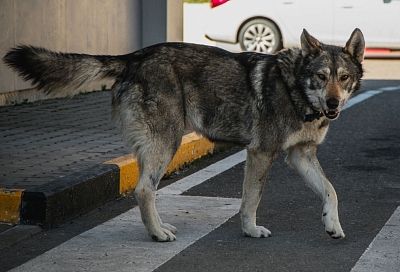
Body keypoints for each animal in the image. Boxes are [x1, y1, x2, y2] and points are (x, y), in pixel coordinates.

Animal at [3, 28, 366, 241]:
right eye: (321, 77)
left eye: (344, 78)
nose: (333, 103)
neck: (296, 91)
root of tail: (134, 57)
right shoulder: (261, 153)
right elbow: (251, 200)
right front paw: (250, 230)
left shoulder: (300, 156)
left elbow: (331, 190)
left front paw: (333, 224)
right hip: (167, 143)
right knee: (143, 190)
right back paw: (157, 234)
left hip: (155, 146)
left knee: (145, 190)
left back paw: (158, 228)